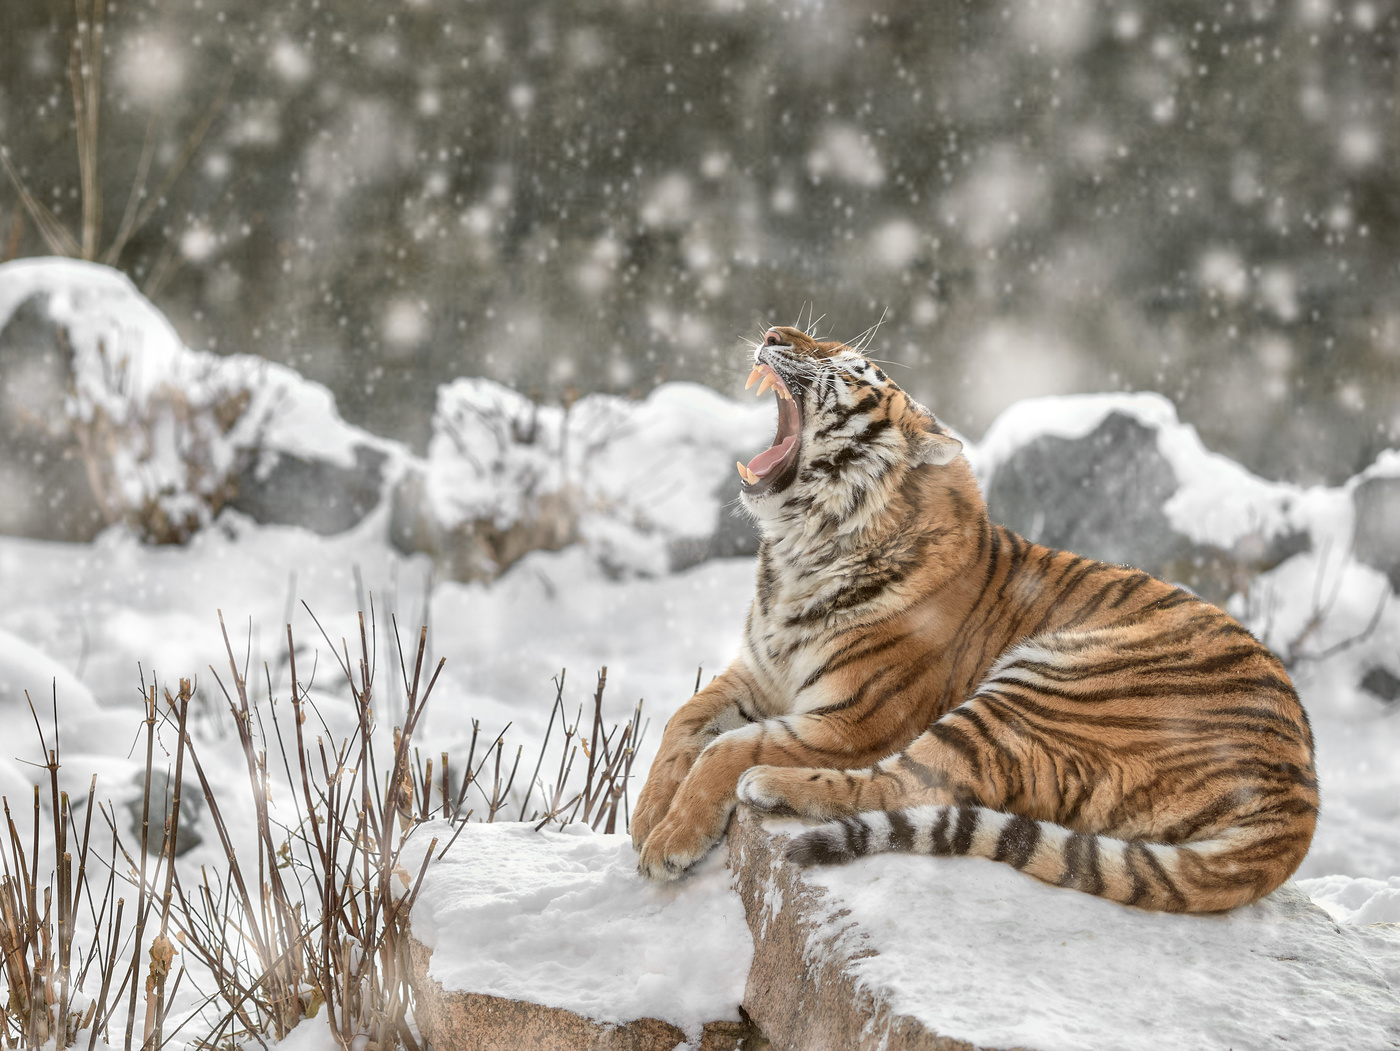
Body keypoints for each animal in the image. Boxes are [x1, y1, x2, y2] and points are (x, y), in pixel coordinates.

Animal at [629, 323, 1318, 913]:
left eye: (848, 368)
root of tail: (1299, 804)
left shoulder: (853, 718)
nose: (773, 332)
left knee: (910, 783)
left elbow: (728, 747)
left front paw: (668, 841)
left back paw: (769, 784)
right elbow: (683, 720)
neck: (798, 553)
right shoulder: (758, 671)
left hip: (1044, 683)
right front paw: (645, 816)